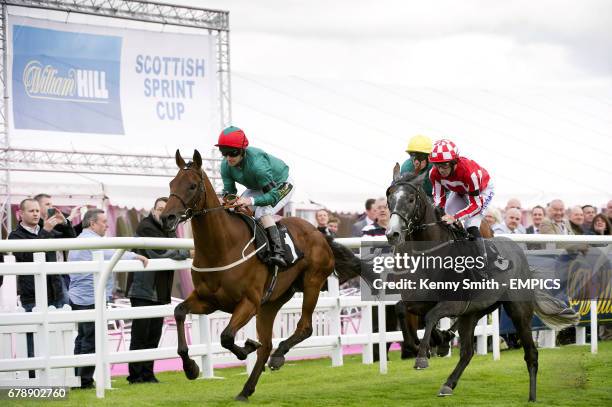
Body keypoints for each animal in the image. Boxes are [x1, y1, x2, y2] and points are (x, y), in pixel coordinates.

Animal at [160, 150, 360, 402]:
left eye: (193, 186)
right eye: (171, 183)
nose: (166, 218)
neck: (221, 248)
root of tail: (319, 232)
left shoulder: (249, 302)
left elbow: (227, 336)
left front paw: (246, 347)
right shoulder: (208, 301)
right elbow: (179, 312)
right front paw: (191, 368)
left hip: (312, 283)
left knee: (304, 327)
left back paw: (279, 355)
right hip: (271, 303)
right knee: (266, 345)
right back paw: (246, 390)